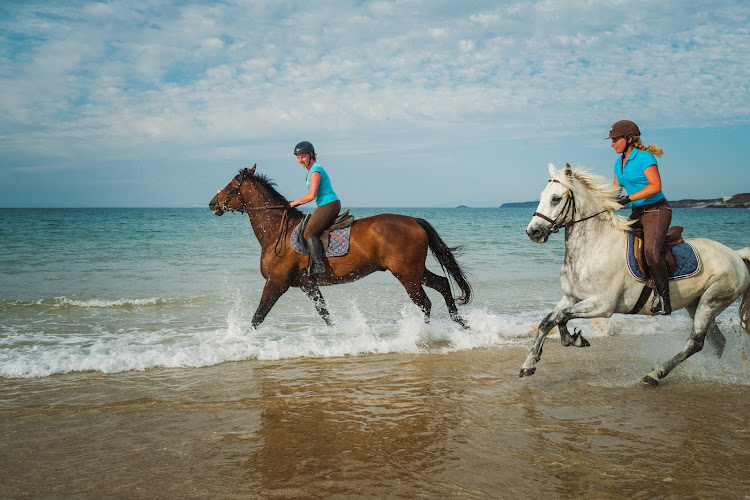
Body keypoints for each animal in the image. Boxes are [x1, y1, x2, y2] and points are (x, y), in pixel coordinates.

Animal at [208, 165, 472, 329]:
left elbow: (258, 317)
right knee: (442, 284)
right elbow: (326, 315)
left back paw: (423, 334)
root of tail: (414, 221)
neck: (276, 233)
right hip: (414, 270)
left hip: (406, 274)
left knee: (425, 302)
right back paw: (459, 323)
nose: (212, 204)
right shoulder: (308, 285)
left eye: (231, 185)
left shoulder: (276, 283)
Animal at [523, 163, 750, 386]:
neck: (596, 245)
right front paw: (529, 364)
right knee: (717, 341)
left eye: (556, 198)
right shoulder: (571, 297)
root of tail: (736, 256)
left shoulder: (603, 304)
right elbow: (548, 320)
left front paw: (573, 340)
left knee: (695, 342)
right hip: (696, 304)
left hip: (711, 301)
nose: (533, 232)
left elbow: (561, 316)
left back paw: (655, 374)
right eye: (542, 195)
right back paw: (710, 369)